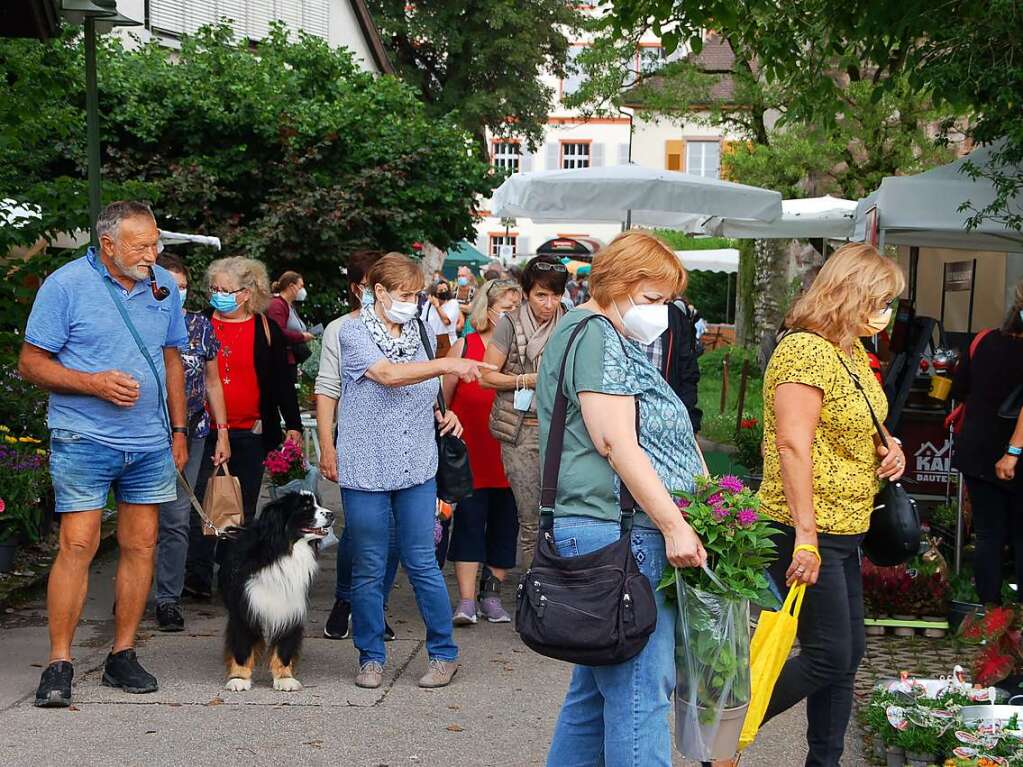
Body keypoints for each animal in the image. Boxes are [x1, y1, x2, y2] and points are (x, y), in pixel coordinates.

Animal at [217, 492, 333, 695]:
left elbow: (284, 648)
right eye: (305, 507)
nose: (331, 515)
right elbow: (242, 644)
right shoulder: (245, 607)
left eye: (318, 503)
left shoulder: (290, 608)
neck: (284, 550)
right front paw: (239, 677)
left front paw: (285, 678)